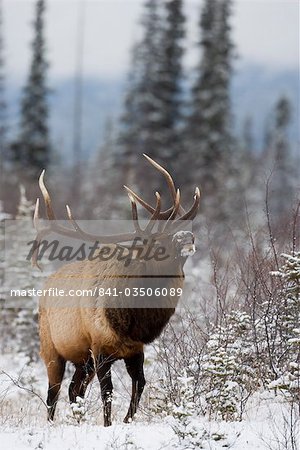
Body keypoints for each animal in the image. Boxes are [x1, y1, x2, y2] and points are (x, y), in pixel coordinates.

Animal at [32, 155, 200, 426]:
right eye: (157, 242)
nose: (187, 236)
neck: (130, 320)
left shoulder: (135, 349)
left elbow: (140, 384)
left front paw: (126, 420)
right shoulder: (100, 347)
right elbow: (107, 391)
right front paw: (108, 424)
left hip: (83, 359)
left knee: (74, 389)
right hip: (51, 347)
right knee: (53, 392)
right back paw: (51, 423)